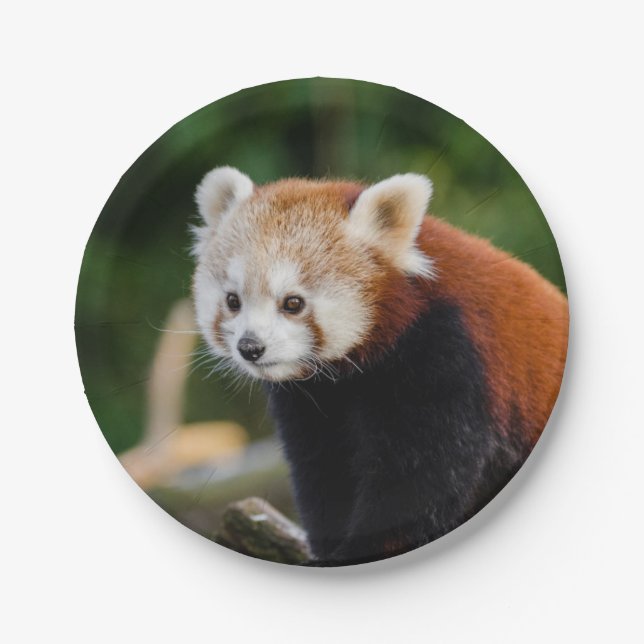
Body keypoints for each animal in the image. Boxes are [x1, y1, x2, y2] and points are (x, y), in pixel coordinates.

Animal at [191, 166, 568, 566]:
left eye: (293, 303)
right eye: (233, 301)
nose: (250, 347)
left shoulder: (448, 354)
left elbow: (419, 483)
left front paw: (362, 551)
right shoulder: (314, 400)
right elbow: (323, 470)